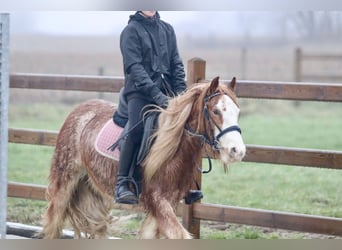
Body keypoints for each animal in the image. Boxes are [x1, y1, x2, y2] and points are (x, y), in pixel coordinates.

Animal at [40, 75, 246, 238]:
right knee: (53, 224)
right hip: (64, 183)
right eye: (216, 111)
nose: (238, 151)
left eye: (237, 111)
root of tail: (80, 110)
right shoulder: (158, 202)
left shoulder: (166, 204)